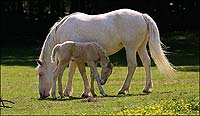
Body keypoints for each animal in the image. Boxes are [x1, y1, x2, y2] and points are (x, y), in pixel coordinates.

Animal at [35, 8, 175, 99]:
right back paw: (147, 88)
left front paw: (72, 92)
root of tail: (142, 15)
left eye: (40, 74)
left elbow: (73, 73)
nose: (42, 95)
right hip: (140, 47)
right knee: (146, 62)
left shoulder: (73, 58)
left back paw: (123, 89)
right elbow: (79, 73)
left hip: (130, 48)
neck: (62, 29)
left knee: (132, 66)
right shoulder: (77, 58)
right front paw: (82, 91)